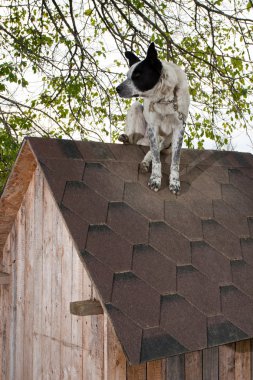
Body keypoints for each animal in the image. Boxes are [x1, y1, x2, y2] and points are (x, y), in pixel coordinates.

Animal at [116, 43, 190, 194]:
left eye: (137, 76)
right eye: (127, 76)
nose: (117, 89)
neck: (165, 98)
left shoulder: (179, 127)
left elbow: (175, 160)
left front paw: (174, 182)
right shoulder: (153, 126)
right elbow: (156, 158)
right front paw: (155, 179)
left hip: (166, 140)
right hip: (137, 110)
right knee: (135, 141)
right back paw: (126, 139)